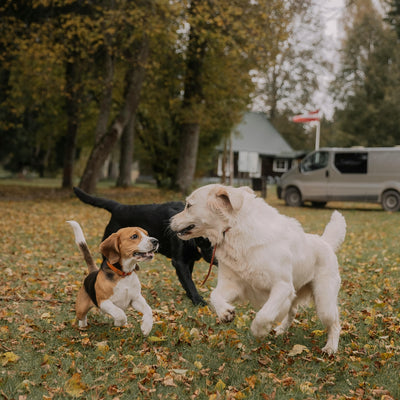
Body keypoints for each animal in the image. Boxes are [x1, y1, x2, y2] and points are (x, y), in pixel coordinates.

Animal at [72, 187, 216, 304]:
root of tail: (119, 206)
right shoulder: (179, 261)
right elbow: (189, 282)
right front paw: (198, 301)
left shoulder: (189, 260)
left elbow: (188, 279)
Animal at [170, 184, 346, 354]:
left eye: (188, 205)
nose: (170, 220)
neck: (233, 230)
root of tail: (325, 242)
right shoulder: (234, 285)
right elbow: (214, 295)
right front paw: (225, 313)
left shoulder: (282, 286)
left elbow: (264, 314)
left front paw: (259, 330)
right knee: (292, 312)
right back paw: (280, 330)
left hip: (324, 304)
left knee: (335, 324)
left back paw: (330, 348)